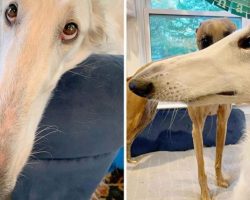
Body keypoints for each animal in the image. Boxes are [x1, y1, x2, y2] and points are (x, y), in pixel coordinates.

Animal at [131, 25, 250, 198]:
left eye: (247, 41)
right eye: (204, 40)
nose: (136, 84)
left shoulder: (222, 123)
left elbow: (219, 157)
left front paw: (220, 181)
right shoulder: (197, 128)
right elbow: (201, 168)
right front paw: (205, 194)